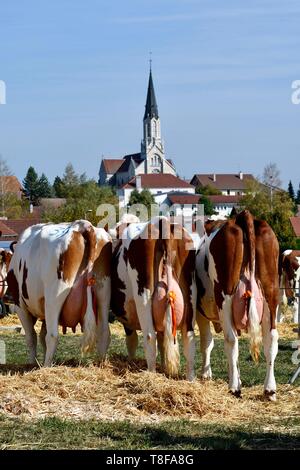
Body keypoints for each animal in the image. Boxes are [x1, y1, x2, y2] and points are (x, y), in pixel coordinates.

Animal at [7, 218, 112, 366]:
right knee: (104, 332)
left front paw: (33, 363)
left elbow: (32, 337)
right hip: (104, 292)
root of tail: (82, 225)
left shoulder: (20, 305)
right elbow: (41, 335)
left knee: (52, 335)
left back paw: (46, 366)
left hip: (54, 297)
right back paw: (101, 363)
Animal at [110, 217, 197, 382]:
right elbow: (163, 341)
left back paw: (151, 374)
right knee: (189, 339)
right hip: (190, 295)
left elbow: (132, 341)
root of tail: (162, 221)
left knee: (150, 337)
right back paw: (190, 380)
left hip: (143, 295)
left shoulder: (127, 318)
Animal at [196, 211, 280, 398]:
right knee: (270, 339)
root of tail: (243, 215)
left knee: (231, 339)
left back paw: (234, 387)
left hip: (225, 296)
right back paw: (269, 388)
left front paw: (206, 375)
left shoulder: (200, 312)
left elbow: (206, 342)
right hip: (271, 293)